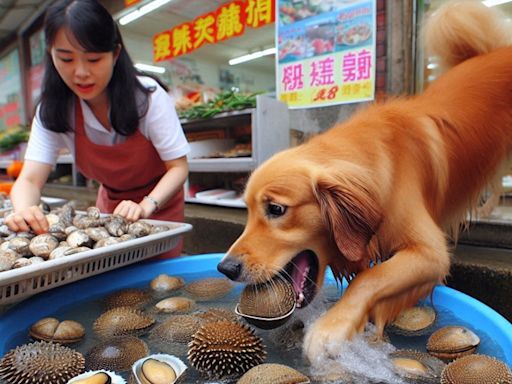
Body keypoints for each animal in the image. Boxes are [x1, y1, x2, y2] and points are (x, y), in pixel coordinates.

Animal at [216, 0, 512, 364]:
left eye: (276, 209)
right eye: (246, 210)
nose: (225, 268)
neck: (381, 162)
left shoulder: (430, 253)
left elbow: (370, 277)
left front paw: (331, 327)